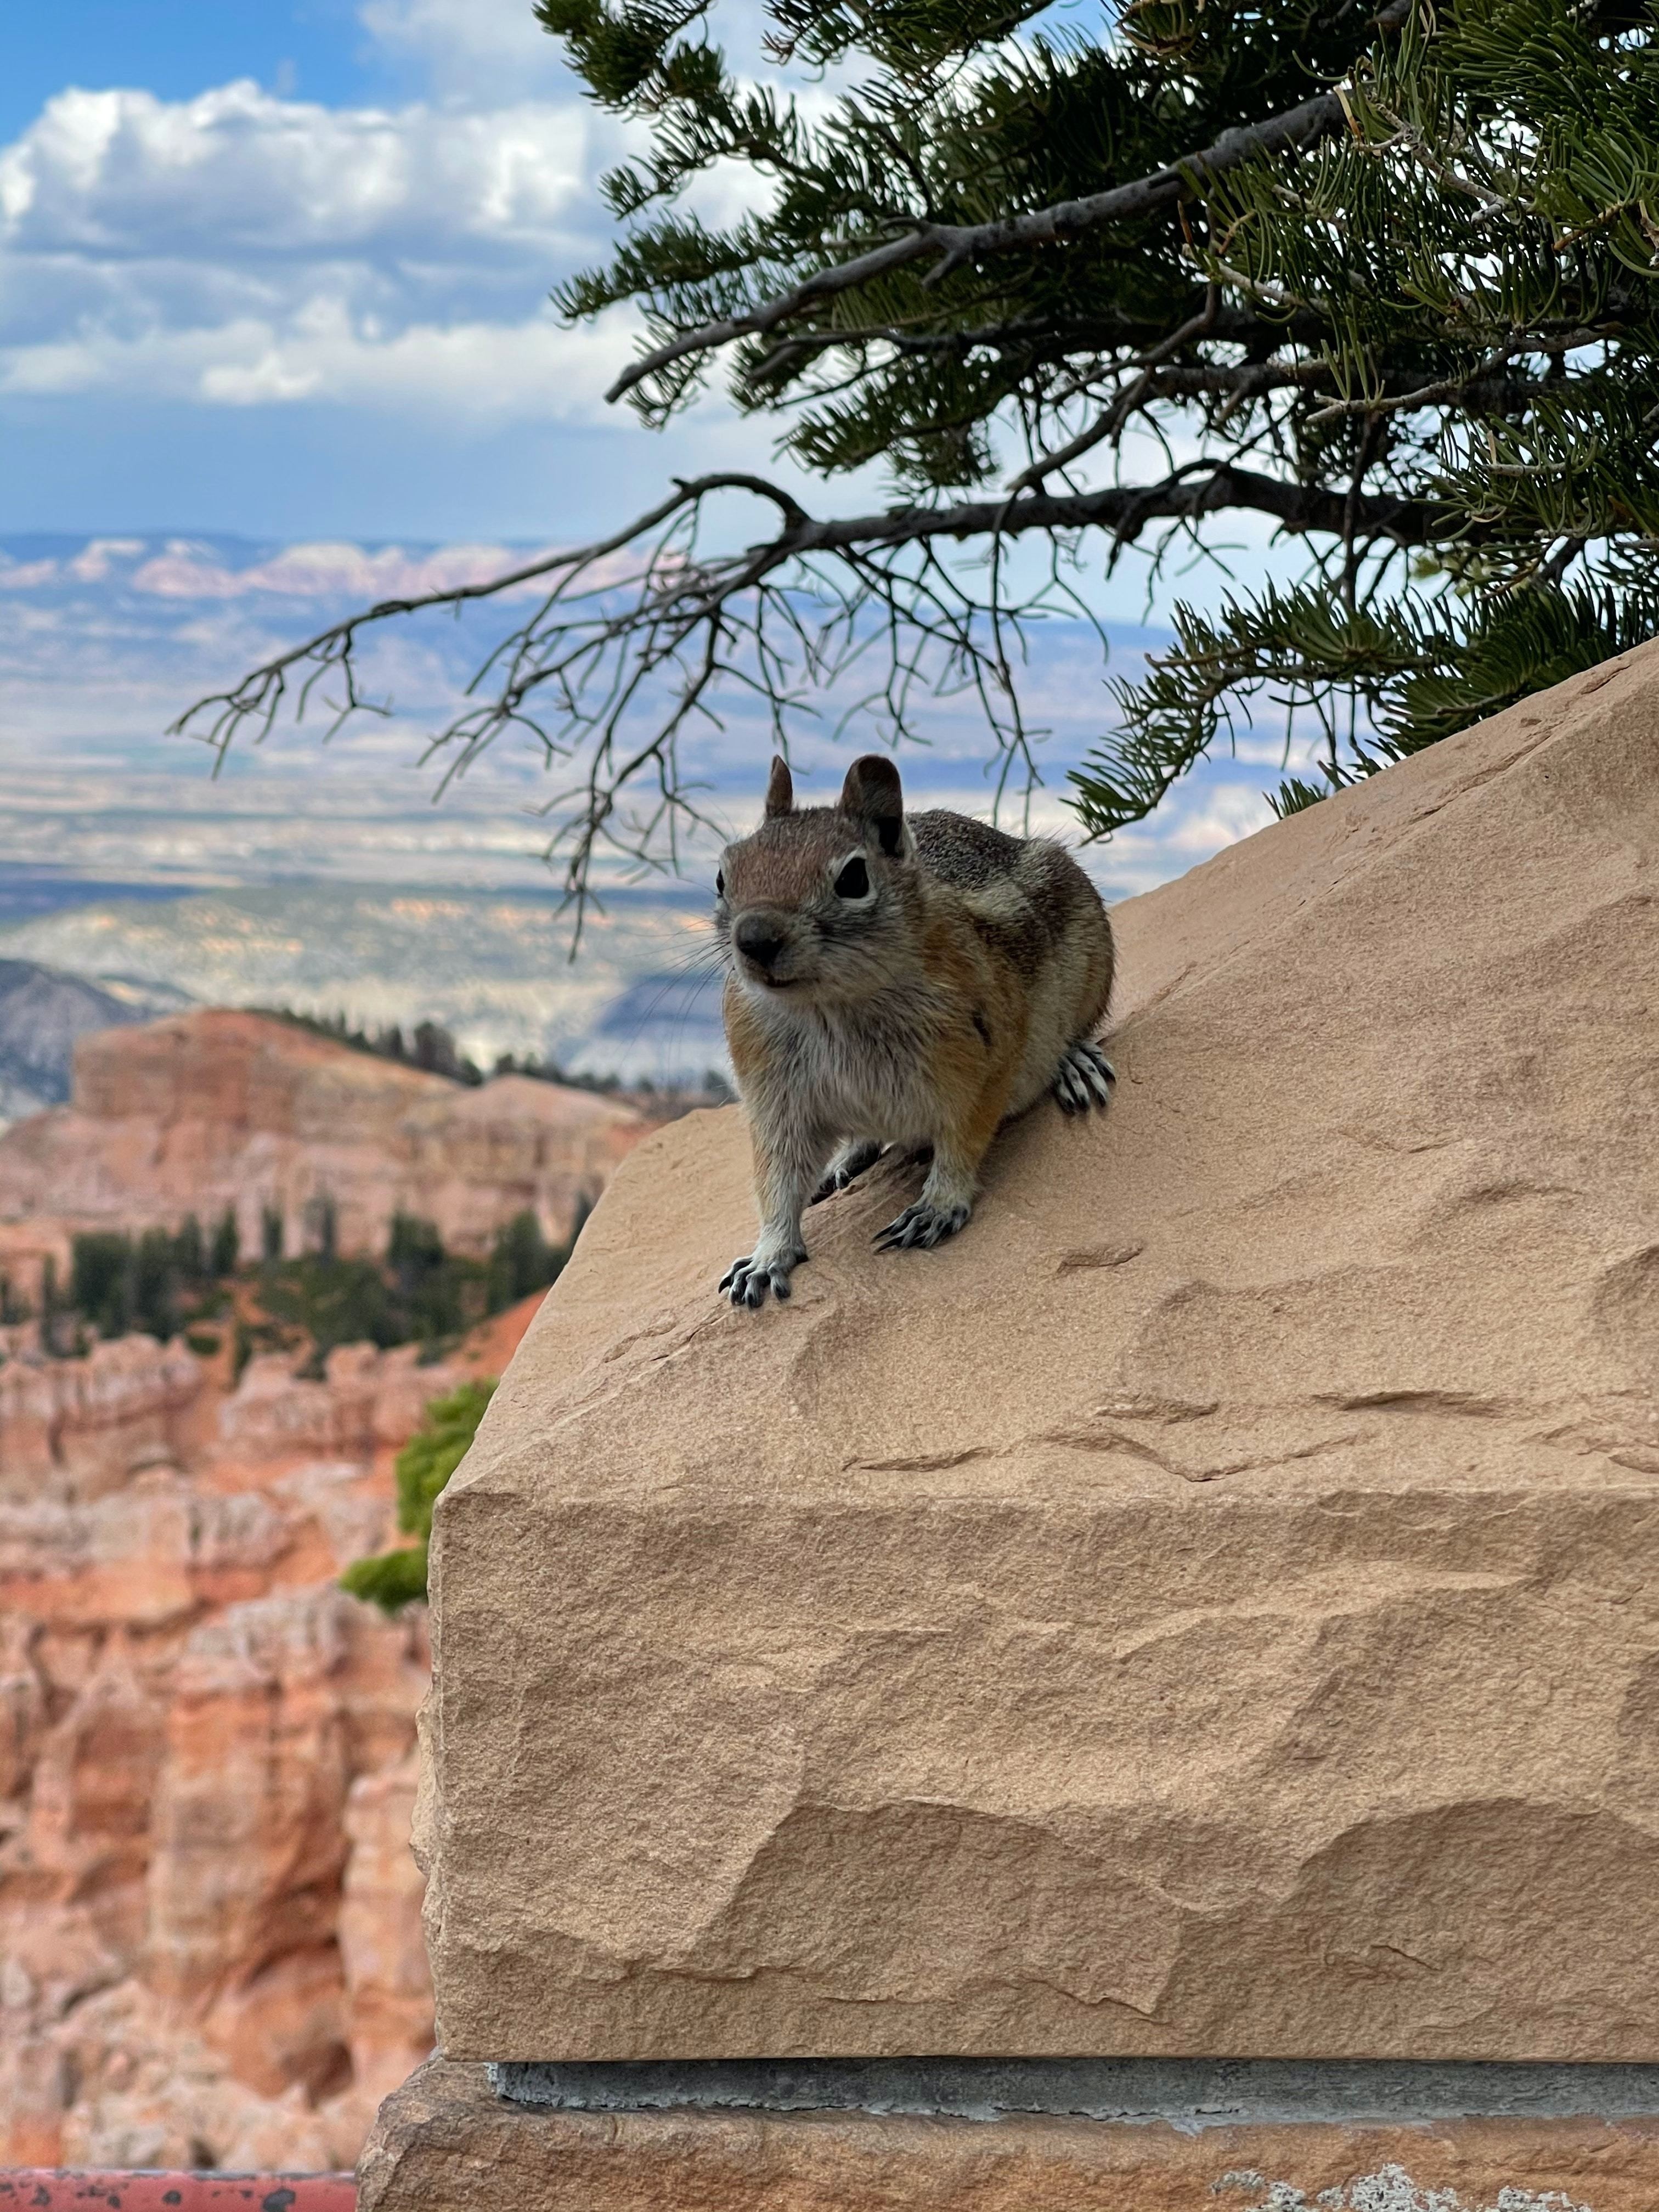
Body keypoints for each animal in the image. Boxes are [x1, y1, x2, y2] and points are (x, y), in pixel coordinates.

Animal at [714, 752, 1116, 1308]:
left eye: (854, 878)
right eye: (722, 875)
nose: (754, 938)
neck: (830, 1007)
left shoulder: (983, 1065)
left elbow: (962, 1141)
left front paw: (938, 1207)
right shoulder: (774, 1101)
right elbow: (776, 1182)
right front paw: (767, 1256)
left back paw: (1075, 1062)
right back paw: (844, 1163)